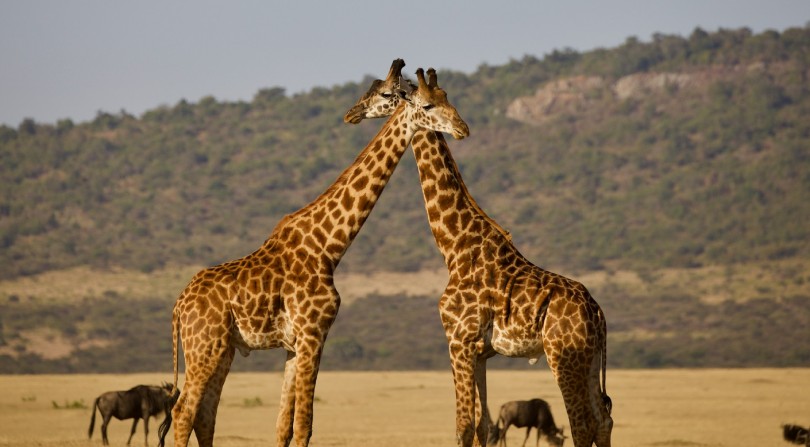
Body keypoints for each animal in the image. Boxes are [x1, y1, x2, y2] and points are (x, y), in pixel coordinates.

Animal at [161, 59, 469, 447]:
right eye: (427, 105)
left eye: (447, 98)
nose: (463, 128)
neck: (328, 246)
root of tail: (178, 307)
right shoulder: (314, 332)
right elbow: (304, 425)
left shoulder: (294, 344)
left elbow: (283, 425)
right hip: (204, 347)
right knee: (183, 413)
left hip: (222, 349)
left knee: (205, 416)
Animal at [344, 66, 613, 447]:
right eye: (433, 102)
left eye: (384, 93)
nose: (352, 112)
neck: (454, 246)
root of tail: (598, 313)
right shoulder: (481, 352)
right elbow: (483, 426)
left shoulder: (458, 341)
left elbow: (463, 427)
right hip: (589, 360)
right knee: (603, 420)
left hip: (565, 356)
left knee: (582, 424)